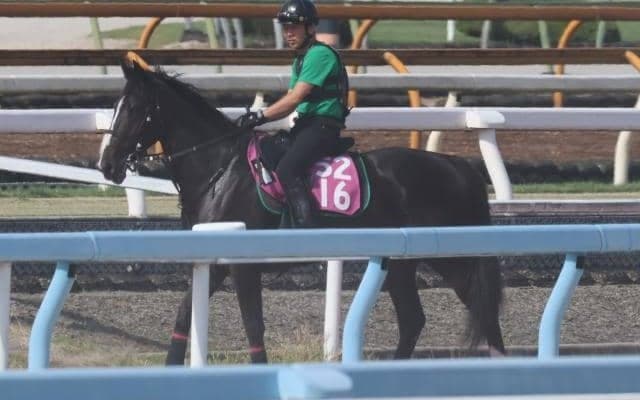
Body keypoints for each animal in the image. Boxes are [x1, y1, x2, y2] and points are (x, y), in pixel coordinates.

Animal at [99, 56, 505, 365]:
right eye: (115, 107)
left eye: (133, 108)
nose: (107, 164)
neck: (219, 167)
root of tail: (459, 165)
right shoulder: (212, 262)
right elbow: (185, 314)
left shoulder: (242, 266)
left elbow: (253, 325)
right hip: (401, 263)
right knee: (414, 320)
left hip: (453, 258)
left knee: (482, 311)